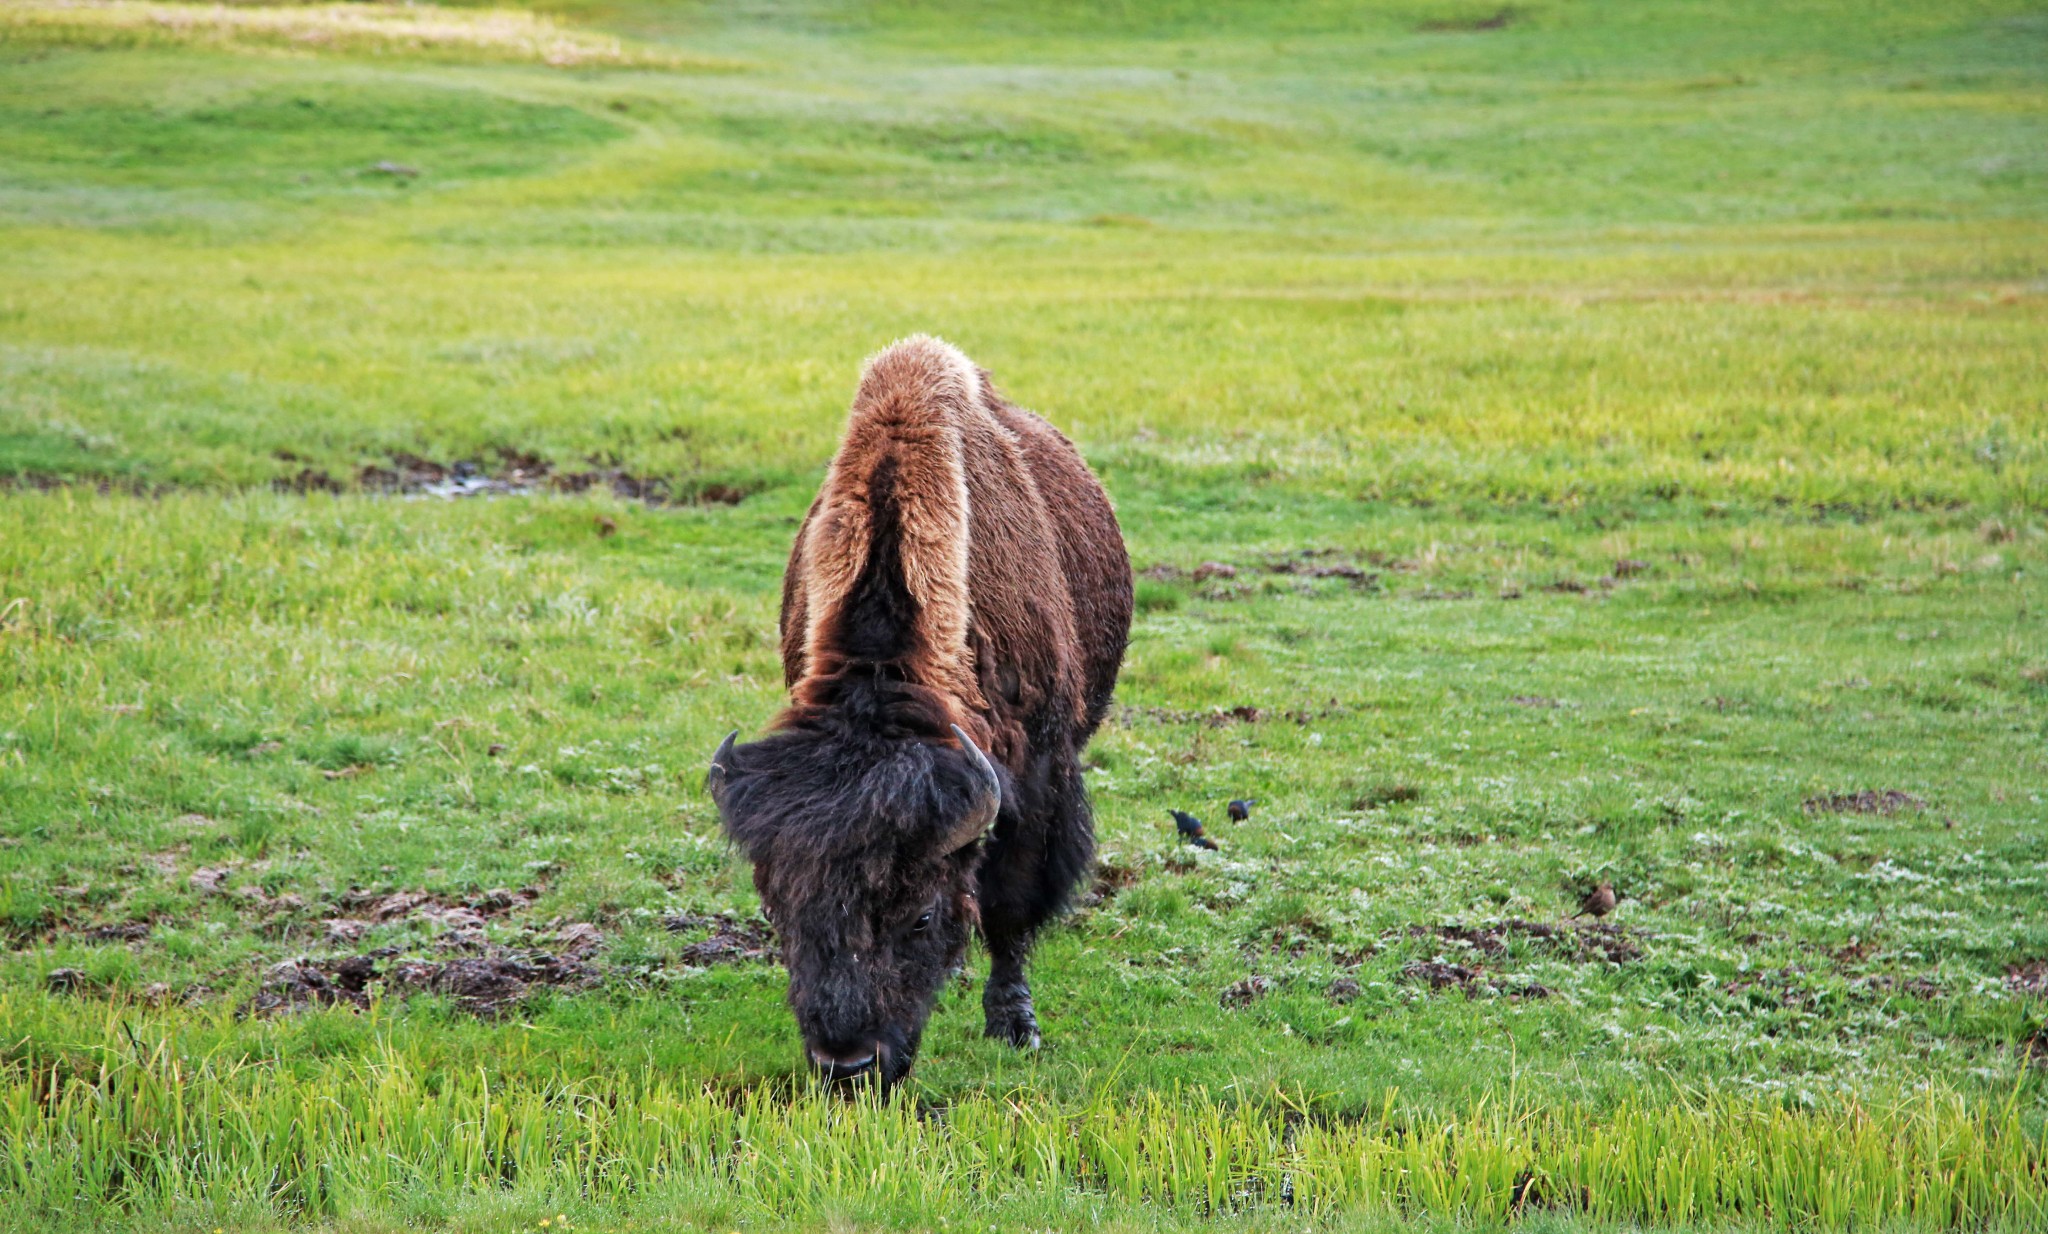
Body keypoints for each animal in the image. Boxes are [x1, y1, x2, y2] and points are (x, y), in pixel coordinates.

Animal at [708, 337, 1138, 1088]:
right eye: (778, 910)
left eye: (921, 916)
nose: (848, 1065)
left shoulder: (1035, 779)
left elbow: (1009, 903)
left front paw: (1015, 1026)